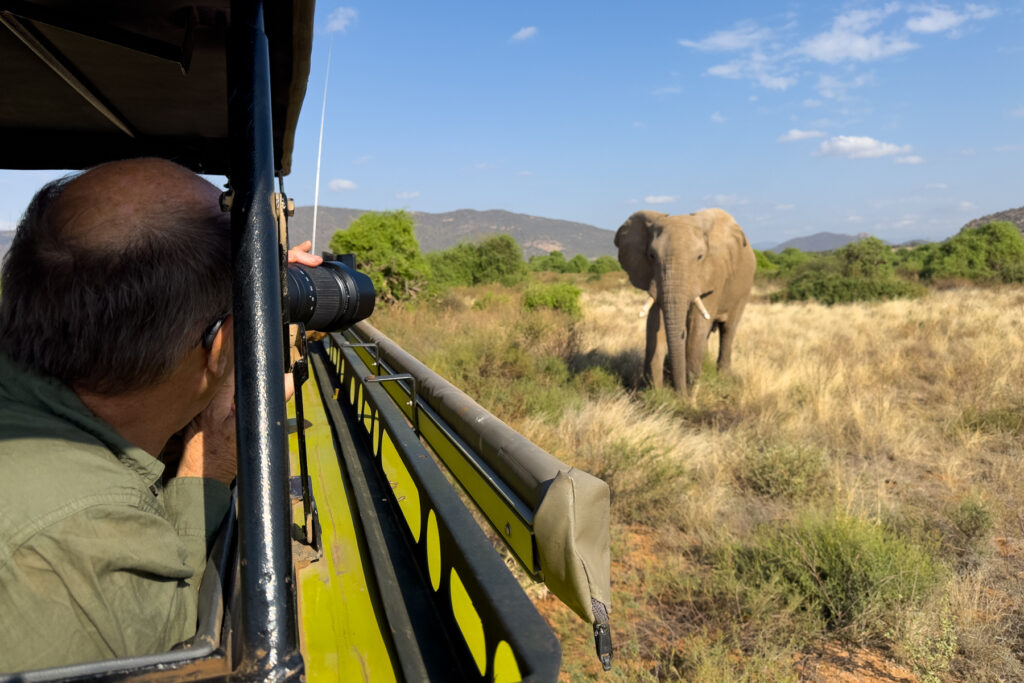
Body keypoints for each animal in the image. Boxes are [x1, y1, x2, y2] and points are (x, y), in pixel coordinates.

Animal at [610, 208, 757, 393]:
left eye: (700, 257)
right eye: (651, 256)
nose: (680, 393)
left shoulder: (714, 274)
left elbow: (697, 323)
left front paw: (690, 390)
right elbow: (655, 324)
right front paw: (656, 392)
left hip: (743, 290)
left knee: (728, 330)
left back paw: (723, 378)